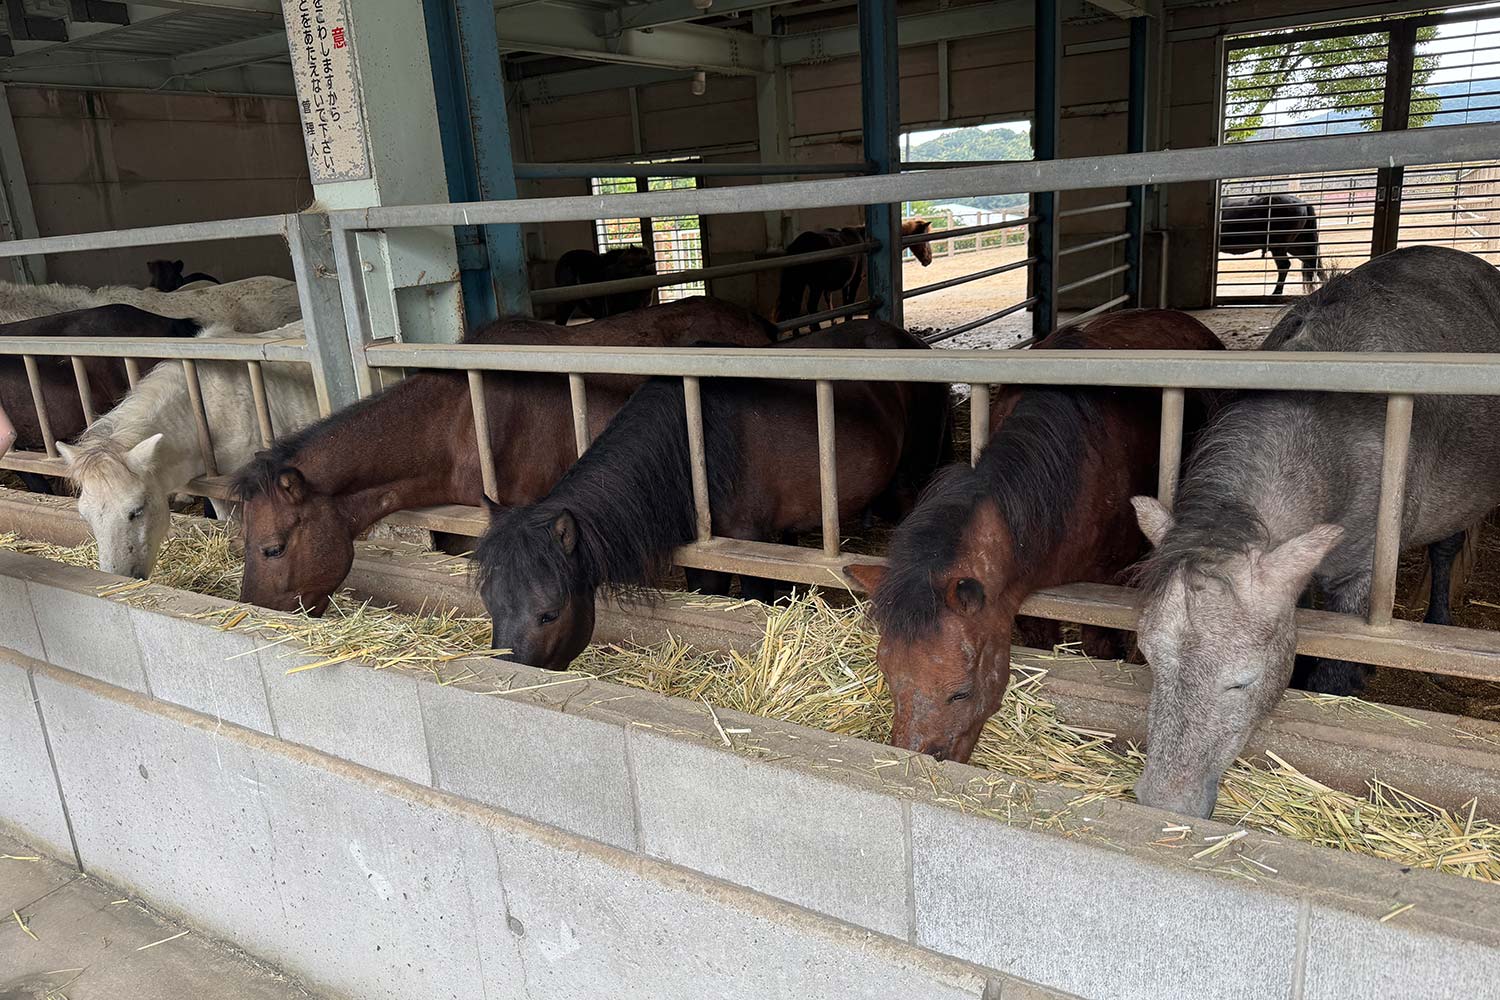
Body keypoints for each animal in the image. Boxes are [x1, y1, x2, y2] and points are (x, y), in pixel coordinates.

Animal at [474, 319, 952, 672]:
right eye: (490, 603)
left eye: (549, 613)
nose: (507, 672)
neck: (697, 437)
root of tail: (908, 340)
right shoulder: (705, 549)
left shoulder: (748, 544)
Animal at [775, 220, 935, 325]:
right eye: (925, 239)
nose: (928, 260)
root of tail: (798, 245)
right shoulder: (856, 280)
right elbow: (850, 303)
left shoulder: (846, 283)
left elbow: (846, 304)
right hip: (815, 286)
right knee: (810, 308)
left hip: (798, 284)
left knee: (794, 310)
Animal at [1131, 245, 1500, 819]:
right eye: (1150, 659)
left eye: (1243, 681)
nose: (1164, 803)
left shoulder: (1362, 578)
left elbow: (1336, 674)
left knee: (1445, 551)